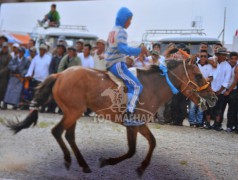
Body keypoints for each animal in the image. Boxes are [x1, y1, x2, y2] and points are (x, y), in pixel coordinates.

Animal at [6, 59, 218, 176]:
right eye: (199, 76)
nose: (214, 97)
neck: (152, 87)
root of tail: (61, 74)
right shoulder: (132, 125)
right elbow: (132, 150)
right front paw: (106, 161)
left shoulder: (140, 124)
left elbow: (152, 142)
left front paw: (142, 168)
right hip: (73, 112)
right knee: (58, 132)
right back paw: (69, 161)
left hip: (72, 112)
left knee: (68, 135)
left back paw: (83, 165)